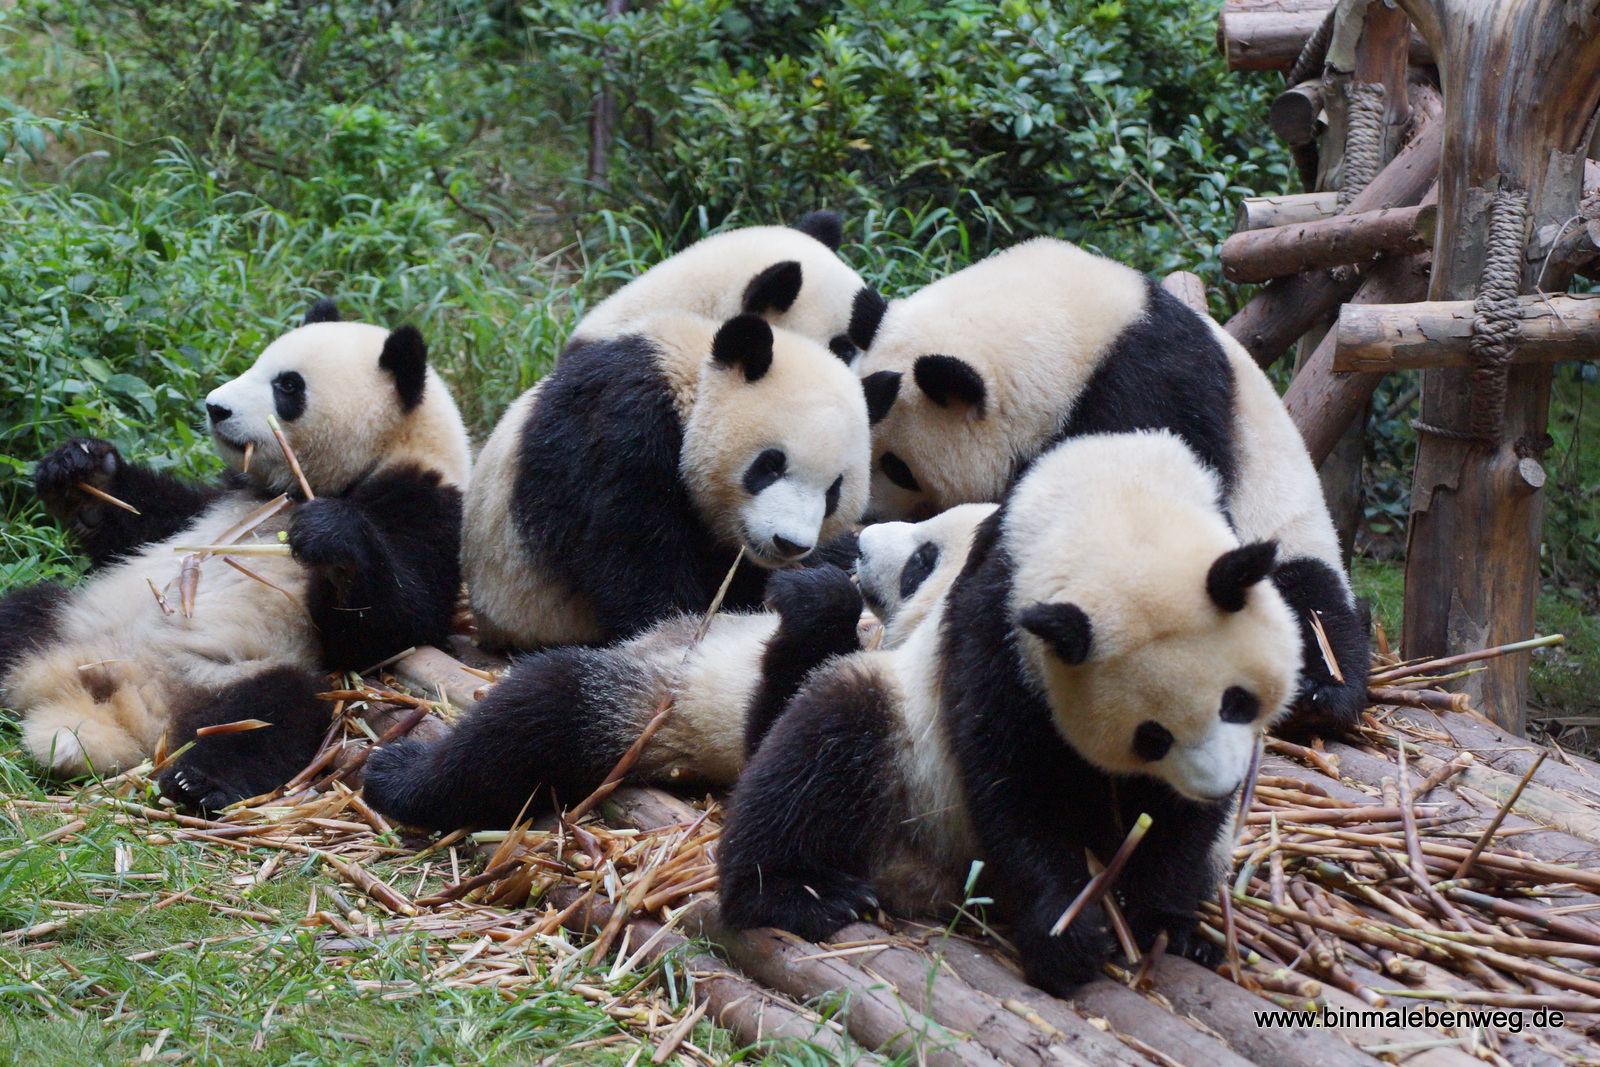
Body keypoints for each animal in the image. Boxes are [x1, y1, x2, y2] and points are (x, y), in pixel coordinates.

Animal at [0, 303, 470, 812]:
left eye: (288, 386)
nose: (215, 406)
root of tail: (107, 696)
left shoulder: (426, 503)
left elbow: (397, 625)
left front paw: (331, 538)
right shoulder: (229, 494)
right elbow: (147, 521)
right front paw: (80, 469)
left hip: (231, 672)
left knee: (269, 714)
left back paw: (199, 782)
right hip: (72, 619)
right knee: (21, 613)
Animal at [364, 505, 992, 838]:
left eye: (921, 562)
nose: (864, 543)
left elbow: (778, 737)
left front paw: (817, 601)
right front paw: (812, 574)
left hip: (649, 711)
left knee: (536, 717)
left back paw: (400, 775)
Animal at [720, 428, 1305, 998]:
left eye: (1238, 703)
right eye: (1153, 736)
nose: (863, 545)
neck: (1120, 498)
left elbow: (1172, 821)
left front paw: (1156, 923)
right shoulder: (994, 627)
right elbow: (1013, 772)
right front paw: (1068, 935)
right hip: (912, 780)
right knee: (821, 749)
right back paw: (798, 894)